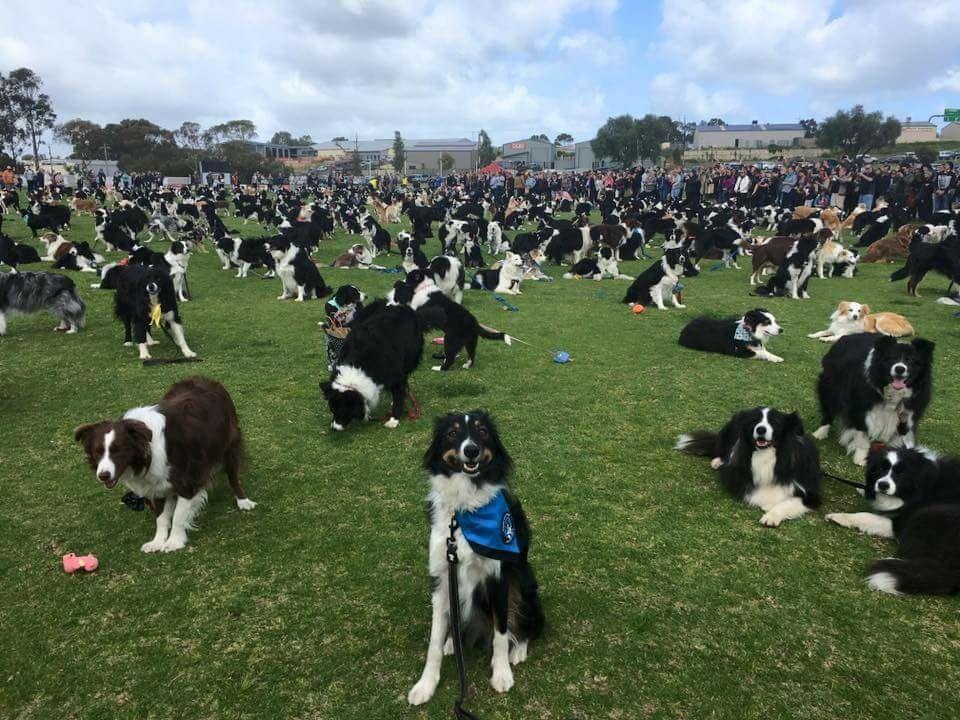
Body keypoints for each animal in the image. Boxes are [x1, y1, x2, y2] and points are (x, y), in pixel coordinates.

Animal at [73, 374, 255, 556]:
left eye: (118, 450)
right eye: (98, 452)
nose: (103, 475)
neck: (147, 452)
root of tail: (203, 378)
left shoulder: (187, 482)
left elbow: (179, 516)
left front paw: (174, 541)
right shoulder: (155, 486)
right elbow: (161, 517)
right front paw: (158, 541)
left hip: (229, 444)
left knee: (233, 476)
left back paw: (243, 500)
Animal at [406, 408, 548, 704]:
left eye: (482, 431)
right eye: (452, 433)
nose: (471, 450)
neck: (465, 509)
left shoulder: (499, 577)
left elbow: (501, 631)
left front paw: (502, 673)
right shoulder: (441, 576)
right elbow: (434, 639)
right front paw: (426, 684)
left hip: (524, 583)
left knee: (527, 625)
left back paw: (519, 650)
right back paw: (453, 641)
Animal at [676, 408, 824, 524]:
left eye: (774, 423)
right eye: (754, 421)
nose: (760, 429)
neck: (766, 455)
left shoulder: (812, 494)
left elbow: (789, 502)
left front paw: (771, 515)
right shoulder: (738, 480)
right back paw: (718, 461)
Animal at [812, 334, 932, 464]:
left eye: (910, 361)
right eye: (891, 358)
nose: (900, 369)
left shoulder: (909, 411)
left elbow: (900, 436)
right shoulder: (860, 406)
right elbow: (862, 433)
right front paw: (861, 458)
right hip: (829, 386)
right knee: (828, 408)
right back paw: (820, 433)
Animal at [824, 450, 960, 596]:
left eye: (900, 473)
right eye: (881, 469)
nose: (883, 485)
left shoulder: (901, 522)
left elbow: (867, 516)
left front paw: (840, 517)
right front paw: (865, 489)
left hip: (928, 513)